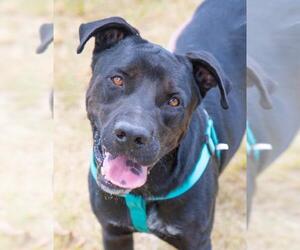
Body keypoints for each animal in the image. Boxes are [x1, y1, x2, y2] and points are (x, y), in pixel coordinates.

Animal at [78, 0, 246, 249]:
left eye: (174, 101)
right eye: (117, 79)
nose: (131, 135)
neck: (143, 193)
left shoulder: (197, 241)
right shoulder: (114, 232)